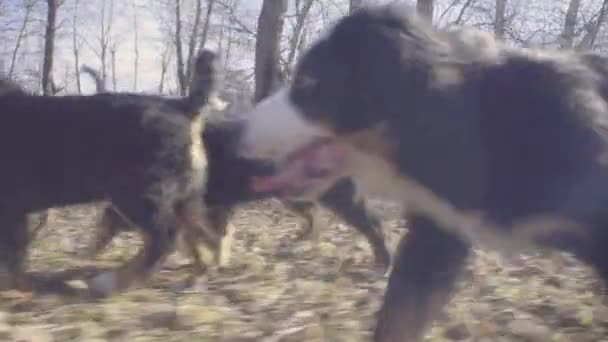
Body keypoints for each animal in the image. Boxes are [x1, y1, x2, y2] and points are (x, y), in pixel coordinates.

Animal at [0, 49, 221, 296]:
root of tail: (183, 107)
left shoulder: (10, 209)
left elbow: (13, 258)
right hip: (183, 197)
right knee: (203, 238)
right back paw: (193, 280)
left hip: (138, 195)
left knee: (164, 238)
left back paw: (112, 282)